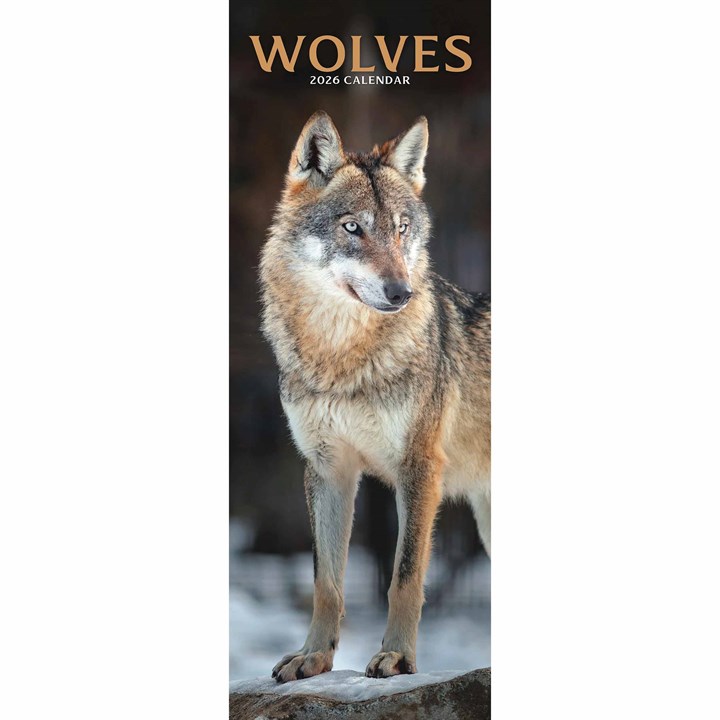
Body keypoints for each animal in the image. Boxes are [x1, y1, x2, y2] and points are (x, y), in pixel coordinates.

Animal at [259, 111, 490, 682]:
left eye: (401, 228)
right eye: (352, 227)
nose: (401, 292)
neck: (342, 359)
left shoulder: (419, 468)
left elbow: (404, 577)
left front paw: (398, 658)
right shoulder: (328, 469)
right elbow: (326, 582)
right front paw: (313, 657)